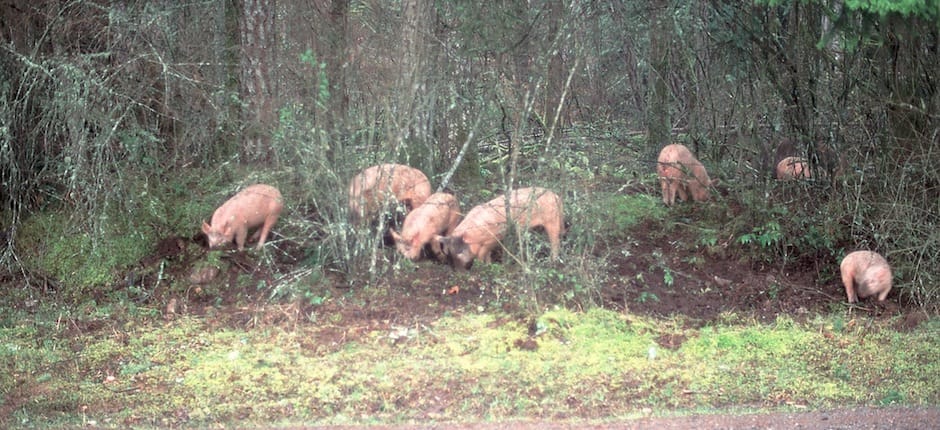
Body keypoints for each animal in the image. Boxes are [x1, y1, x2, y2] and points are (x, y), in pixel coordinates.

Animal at [436, 187, 564, 270]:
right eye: (450, 252)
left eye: (460, 251)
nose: (459, 272)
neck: (477, 236)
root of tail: (556, 196)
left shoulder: (493, 238)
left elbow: (484, 253)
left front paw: (484, 265)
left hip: (552, 219)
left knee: (556, 241)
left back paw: (552, 262)